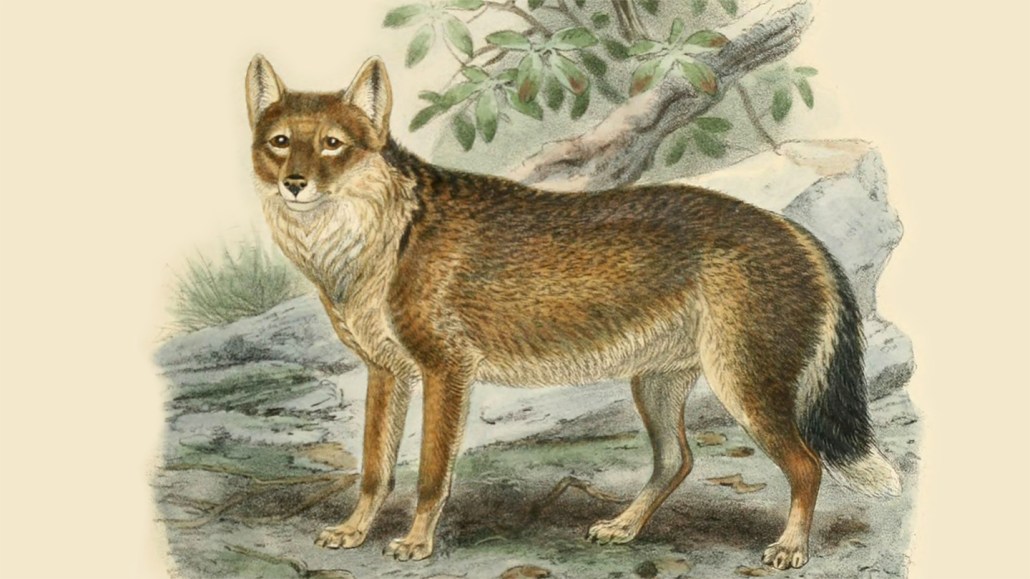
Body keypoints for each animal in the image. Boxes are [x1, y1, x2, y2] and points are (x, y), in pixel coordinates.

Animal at [244, 54, 900, 570]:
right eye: (281, 143)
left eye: (333, 144)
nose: (296, 184)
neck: (385, 236)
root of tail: (798, 233)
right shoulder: (387, 374)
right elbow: (374, 470)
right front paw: (354, 531)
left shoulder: (445, 372)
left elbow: (430, 475)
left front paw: (417, 543)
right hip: (657, 385)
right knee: (677, 461)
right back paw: (624, 527)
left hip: (743, 388)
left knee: (806, 465)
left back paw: (790, 548)